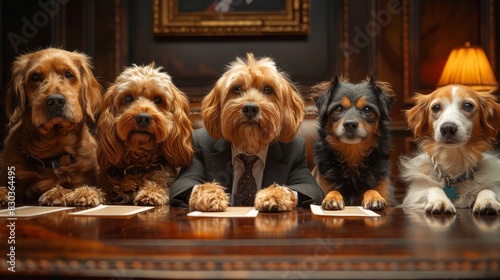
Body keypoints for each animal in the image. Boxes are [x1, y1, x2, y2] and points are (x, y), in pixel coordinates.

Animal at [96, 63, 194, 205]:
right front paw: (84, 193)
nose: (143, 118)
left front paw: (151, 193)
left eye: (158, 99)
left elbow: (159, 185)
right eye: (128, 97)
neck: (138, 164)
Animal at [170, 53, 322, 212]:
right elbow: (189, 184)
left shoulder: (304, 174)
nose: (250, 108)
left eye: (268, 89)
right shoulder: (190, 170)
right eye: (237, 88)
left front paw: (274, 195)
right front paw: (211, 195)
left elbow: (305, 188)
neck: (249, 149)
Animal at [312, 75, 394, 211]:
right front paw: (332, 198)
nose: (350, 124)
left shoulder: (384, 190)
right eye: (339, 108)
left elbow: (372, 190)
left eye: (367, 109)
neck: (353, 154)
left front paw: (374, 197)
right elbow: (333, 191)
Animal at [400, 85, 500, 214]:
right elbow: (433, 188)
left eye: (468, 105)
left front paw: (487, 202)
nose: (448, 128)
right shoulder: (411, 196)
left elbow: (487, 190)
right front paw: (440, 202)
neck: (453, 161)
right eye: (436, 107)